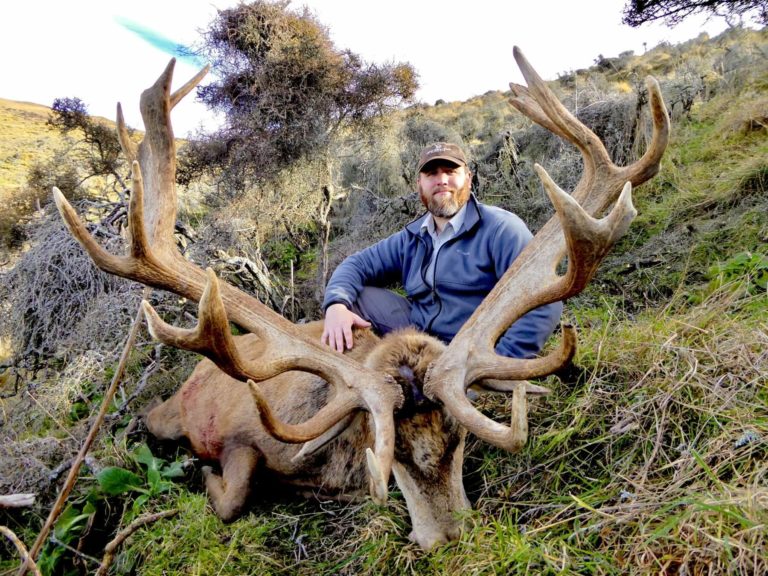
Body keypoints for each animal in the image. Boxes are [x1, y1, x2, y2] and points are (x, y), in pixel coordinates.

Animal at [52, 47, 669, 550]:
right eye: (388, 449)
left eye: (459, 439)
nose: (447, 536)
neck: (332, 461)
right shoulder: (244, 437)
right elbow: (232, 496)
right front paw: (206, 476)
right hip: (170, 409)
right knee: (147, 422)